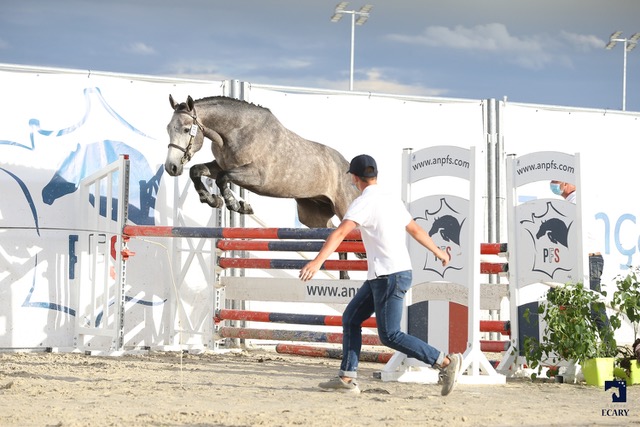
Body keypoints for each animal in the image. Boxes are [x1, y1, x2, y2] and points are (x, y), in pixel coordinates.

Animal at [164, 95, 361, 277]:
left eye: (186, 129)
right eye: (168, 128)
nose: (171, 167)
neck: (235, 132)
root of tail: (348, 166)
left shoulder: (257, 176)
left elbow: (222, 178)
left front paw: (236, 205)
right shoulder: (220, 165)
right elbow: (196, 171)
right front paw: (212, 199)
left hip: (344, 207)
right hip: (312, 214)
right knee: (335, 233)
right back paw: (344, 275)